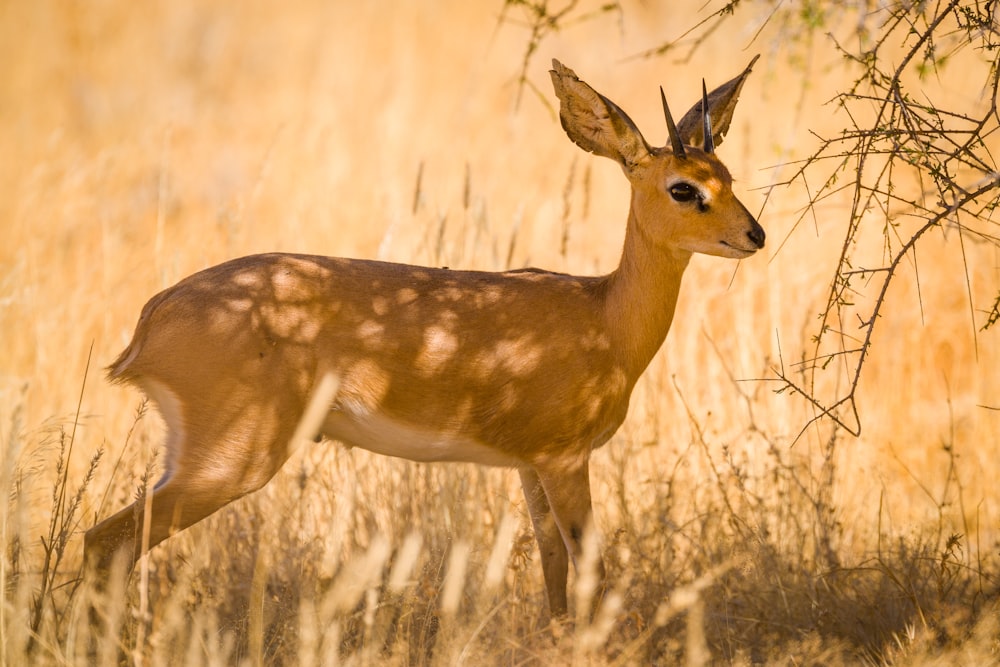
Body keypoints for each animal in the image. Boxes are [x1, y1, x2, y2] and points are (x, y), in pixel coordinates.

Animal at [90, 60, 768, 620]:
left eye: (727, 176)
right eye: (683, 187)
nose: (754, 235)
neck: (604, 313)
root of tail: (155, 316)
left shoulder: (531, 466)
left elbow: (552, 570)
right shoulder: (566, 460)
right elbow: (589, 571)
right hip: (231, 463)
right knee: (104, 545)